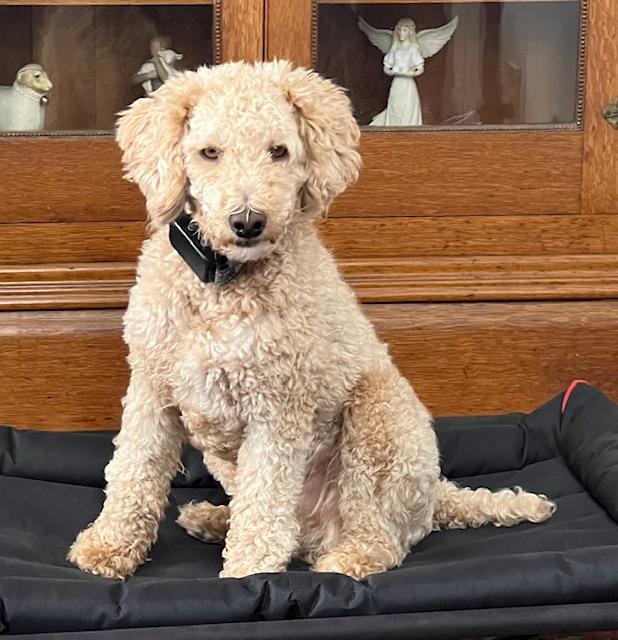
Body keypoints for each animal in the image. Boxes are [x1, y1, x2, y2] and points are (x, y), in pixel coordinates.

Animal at [68, 61, 555, 580]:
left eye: (279, 151)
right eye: (209, 153)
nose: (248, 221)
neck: (223, 282)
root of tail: (435, 498)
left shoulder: (278, 407)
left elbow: (264, 504)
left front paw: (247, 576)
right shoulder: (152, 389)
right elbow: (133, 472)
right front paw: (109, 548)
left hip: (377, 417)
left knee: (376, 538)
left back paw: (345, 560)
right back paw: (214, 518)